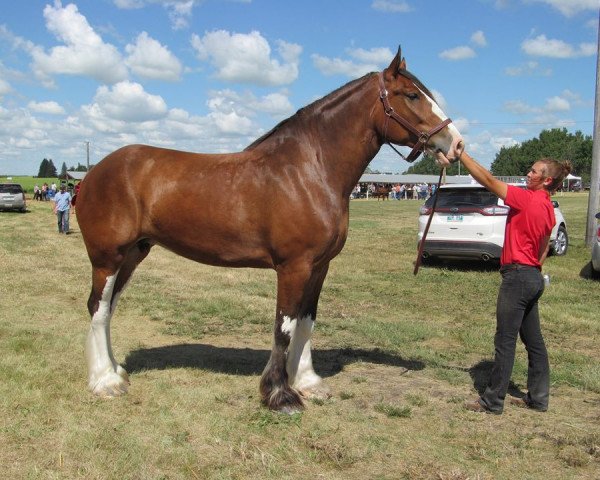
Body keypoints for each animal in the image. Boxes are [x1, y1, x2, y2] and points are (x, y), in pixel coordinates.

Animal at [74, 47, 460, 412]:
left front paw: (307, 381)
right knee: (98, 307)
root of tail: (92, 174)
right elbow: (284, 327)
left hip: (133, 254)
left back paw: (115, 372)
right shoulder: (293, 267)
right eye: (411, 95)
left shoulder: (319, 267)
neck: (309, 169)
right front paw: (279, 394)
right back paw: (105, 381)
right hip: (108, 258)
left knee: (108, 307)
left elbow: (306, 322)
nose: (455, 144)